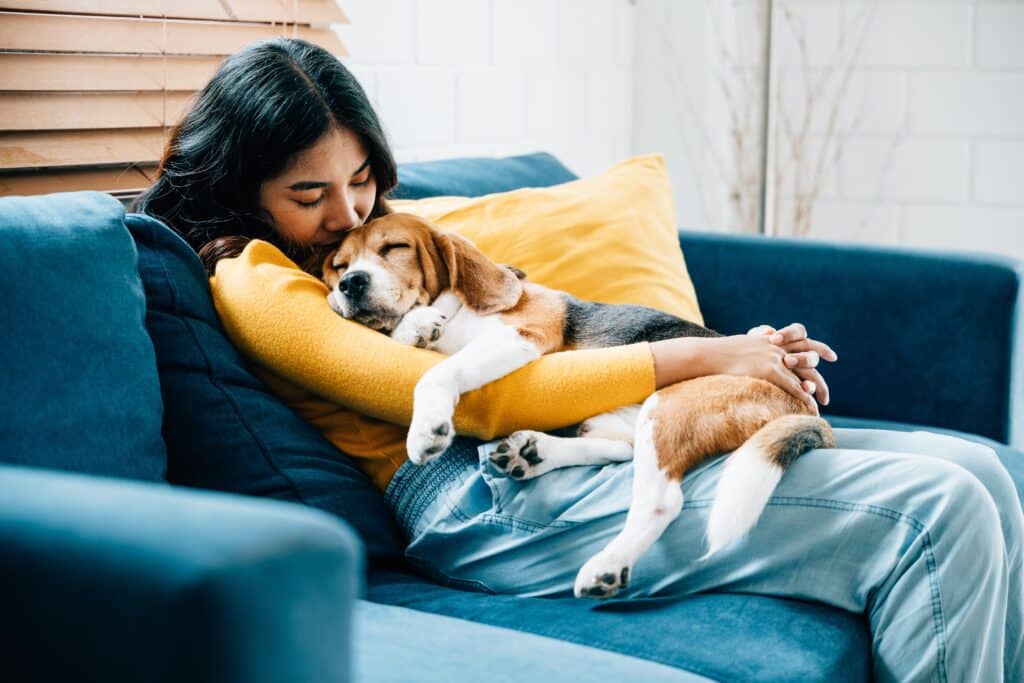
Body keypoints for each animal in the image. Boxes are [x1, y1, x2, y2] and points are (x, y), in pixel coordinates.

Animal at [323, 211, 835, 598]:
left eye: (394, 248)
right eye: (338, 264)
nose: (351, 284)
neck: (457, 310)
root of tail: (804, 407)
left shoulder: (522, 336)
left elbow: (438, 371)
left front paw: (427, 425)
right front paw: (415, 326)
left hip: (668, 405)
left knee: (661, 499)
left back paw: (606, 564)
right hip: (618, 419)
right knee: (618, 449)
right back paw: (533, 453)